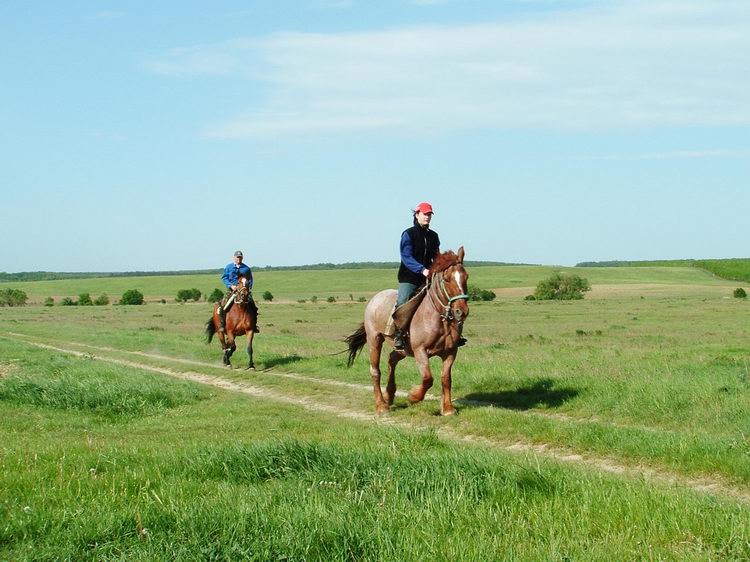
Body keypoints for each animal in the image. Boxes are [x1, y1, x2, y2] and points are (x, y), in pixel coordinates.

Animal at [346, 247, 470, 414]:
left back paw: (389, 395)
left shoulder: (450, 352)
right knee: (375, 371)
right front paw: (413, 396)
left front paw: (448, 409)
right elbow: (427, 378)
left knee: (391, 359)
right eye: (446, 279)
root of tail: (375, 299)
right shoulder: (420, 351)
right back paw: (381, 405)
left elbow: (446, 378)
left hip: (402, 349)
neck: (438, 318)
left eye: (466, 277)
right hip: (374, 340)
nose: (461, 312)